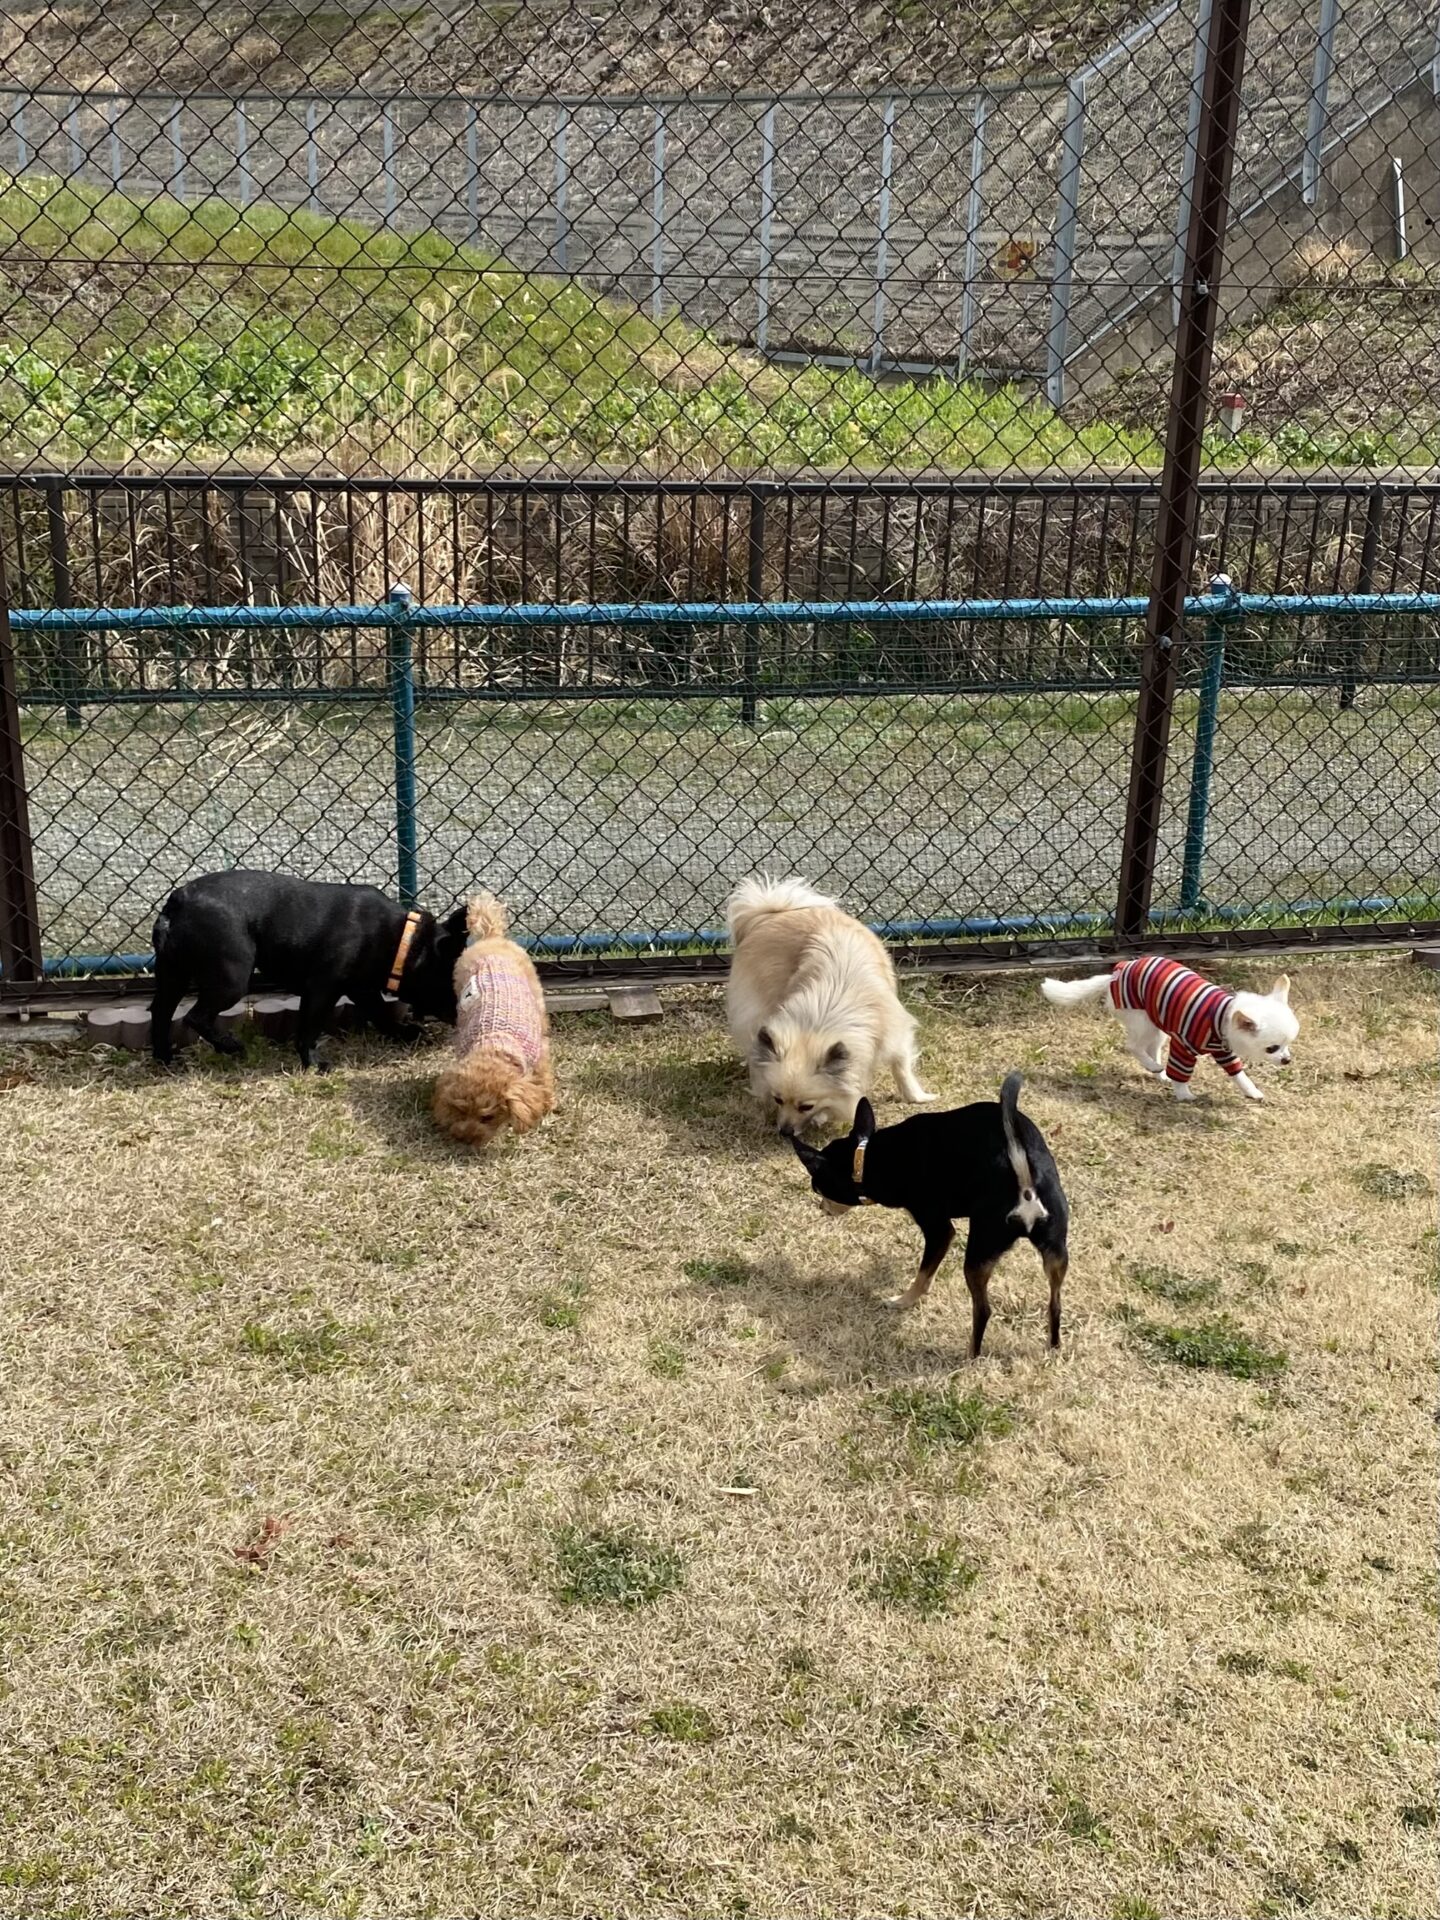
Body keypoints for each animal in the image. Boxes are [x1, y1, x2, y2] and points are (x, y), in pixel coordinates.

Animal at [150, 870, 469, 1071]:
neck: (405, 942)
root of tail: (180, 899)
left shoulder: (362, 989)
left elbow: (381, 1014)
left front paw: (403, 1033)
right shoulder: (323, 988)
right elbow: (310, 1027)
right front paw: (313, 1063)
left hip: (173, 973)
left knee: (161, 1012)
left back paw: (165, 1058)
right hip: (231, 979)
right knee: (196, 1016)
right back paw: (230, 1046)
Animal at [431, 892, 555, 1148]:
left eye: (487, 1117)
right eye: (460, 1111)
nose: (466, 1138)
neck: (494, 1045)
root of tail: (491, 935)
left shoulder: (540, 1059)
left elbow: (544, 1082)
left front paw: (547, 1105)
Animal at [724, 875, 932, 1136]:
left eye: (806, 1106)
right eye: (778, 1100)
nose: (785, 1132)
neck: (822, 1016)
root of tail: (773, 913)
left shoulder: (895, 1034)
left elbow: (901, 1066)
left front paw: (916, 1096)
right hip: (756, 1013)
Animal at [788, 1073, 1068, 1356]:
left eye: (818, 1188)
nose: (822, 1208)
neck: (866, 1158)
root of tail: (1024, 1181)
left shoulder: (938, 1230)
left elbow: (923, 1274)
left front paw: (903, 1301)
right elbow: (929, 1270)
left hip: (979, 1254)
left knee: (983, 1310)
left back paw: (971, 1354)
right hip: (1055, 1252)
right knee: (1055, 1303)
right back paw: (1053, 1345)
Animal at [1041, 955, 1297, 1101]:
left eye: (1287, 1045)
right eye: (1272, 1048)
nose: (1287, 1060)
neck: (1221, 1017)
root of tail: (1116, 974)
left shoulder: (1224, 1052)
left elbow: (1238, 1073)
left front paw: (1251, 1092)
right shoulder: (1183, 1046)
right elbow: (1181, 1073)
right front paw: (1183, 1094)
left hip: (1158, 1025)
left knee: (1151, 1048)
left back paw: (1159, 1073)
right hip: (1141, 1020)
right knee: (1133, 1046)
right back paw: (1154, 1067)